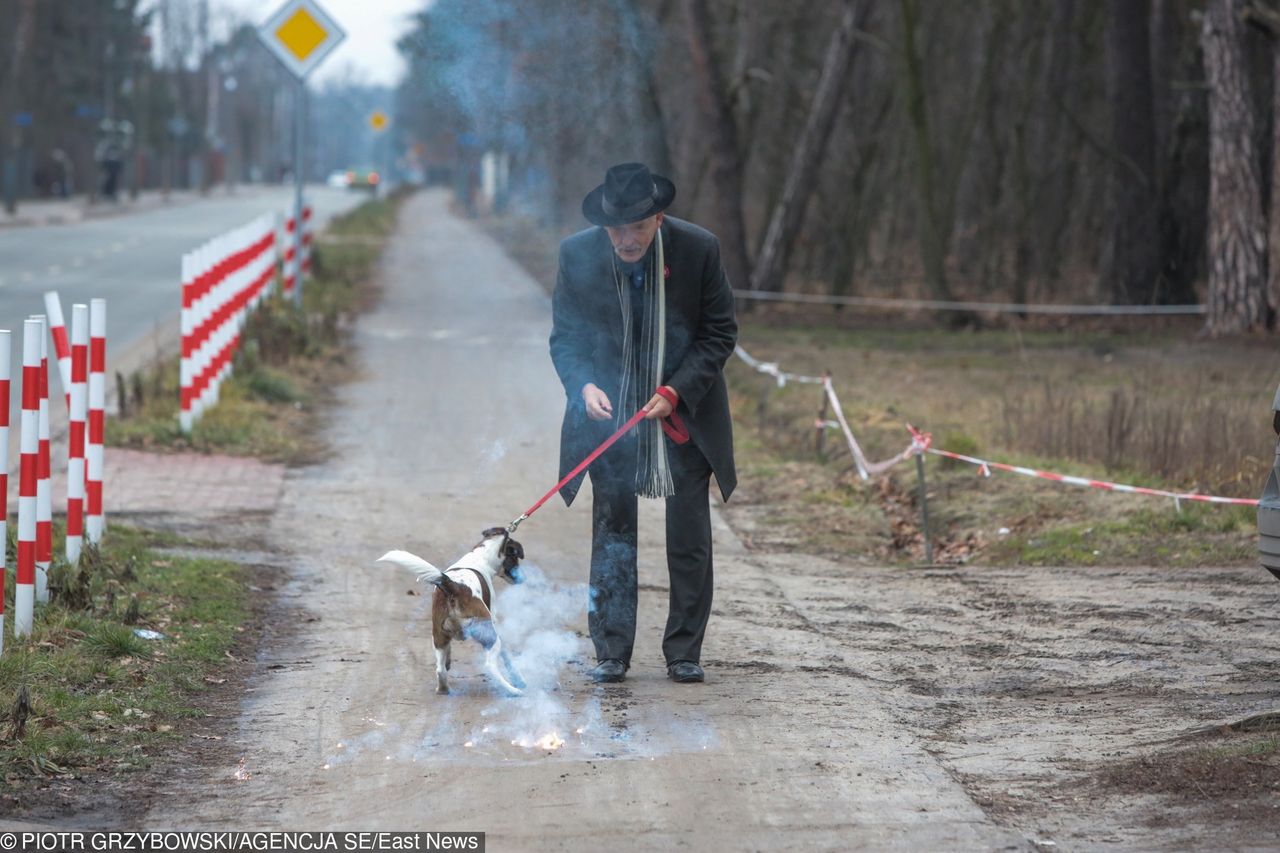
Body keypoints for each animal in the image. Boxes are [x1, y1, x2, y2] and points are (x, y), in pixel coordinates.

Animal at [376, 525, 527, 696]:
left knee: (440, 670)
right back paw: (512, 691)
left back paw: (444, 689)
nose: (522, 579)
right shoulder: (493, 621)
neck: (481, 557)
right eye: (515, 558)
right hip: (488, 634)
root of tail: (454, 586)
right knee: (489, 666)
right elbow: (508, 656)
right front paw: (519, 679)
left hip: (438, 634)